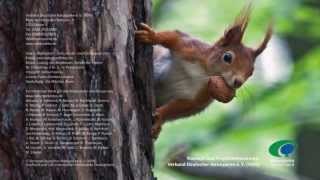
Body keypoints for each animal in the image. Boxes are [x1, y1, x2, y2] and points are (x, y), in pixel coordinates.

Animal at [135, 5, 272, 139]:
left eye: (251, 72)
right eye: (227, 57)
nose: (238, 82)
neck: (204, 73)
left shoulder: (203, 95)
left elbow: (183, 106)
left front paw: (161, 117)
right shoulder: (191, 48)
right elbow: (174, 36)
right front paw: (151, 36)